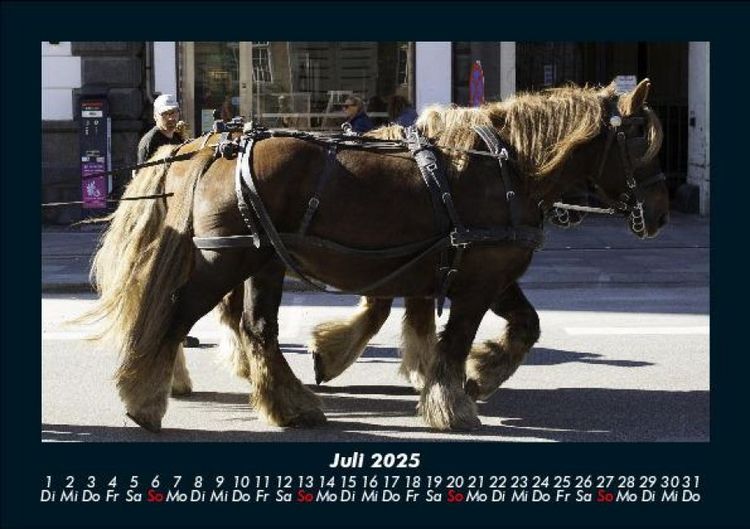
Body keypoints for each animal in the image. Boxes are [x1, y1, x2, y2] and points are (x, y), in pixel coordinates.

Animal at [85, 78, 667, 432]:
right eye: (641, 140)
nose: (660, 214)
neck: (505, 164)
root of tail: (209, 146)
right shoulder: (476, 280)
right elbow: (454, 340)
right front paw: (452, 402)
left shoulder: (483, 272)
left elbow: (524, 326)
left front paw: (479, 375)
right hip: (226, 261)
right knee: (177, 315)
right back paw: (143, 397)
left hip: (261, 261)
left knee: (255, 328)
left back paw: (289, 403)